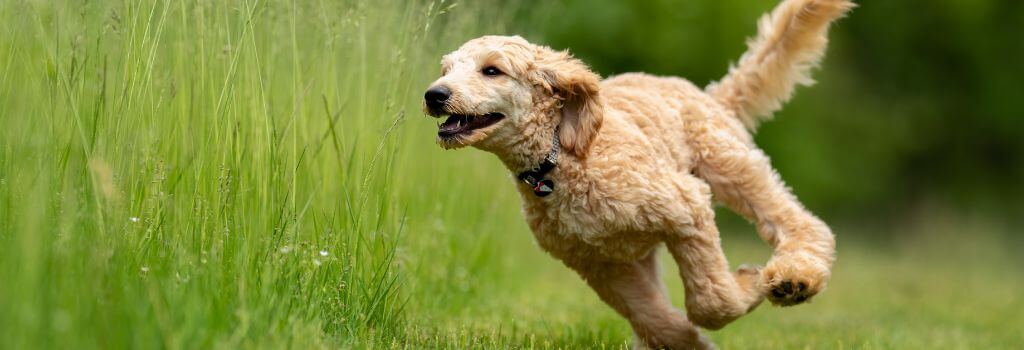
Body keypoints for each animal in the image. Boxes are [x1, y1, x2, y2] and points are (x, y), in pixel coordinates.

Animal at [419, 0, 851, 347]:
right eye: (446, 69)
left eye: (492, 70)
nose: (434, 95)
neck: (560, 160)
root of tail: (708, 94)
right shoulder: (599, 265)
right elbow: (653, 316)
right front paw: (687, 341)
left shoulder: (686, 205)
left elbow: (712, 301)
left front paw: (749, 283)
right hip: (642, 249)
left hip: (730, 165)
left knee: (799, 222)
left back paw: (796, 279)